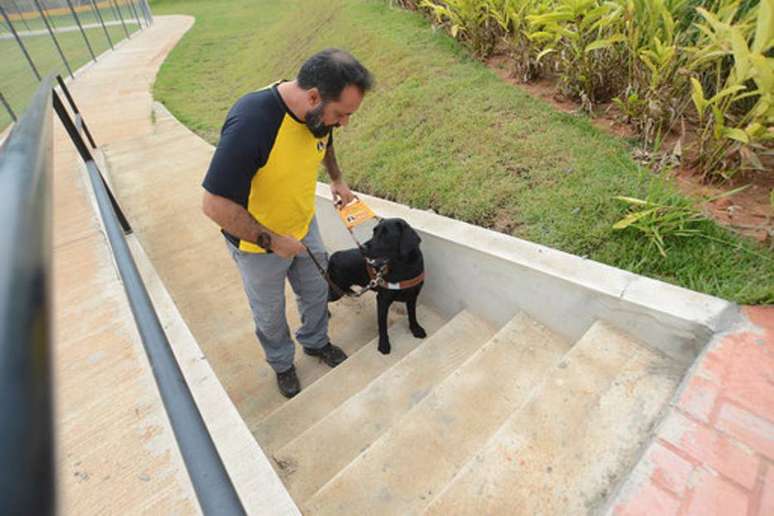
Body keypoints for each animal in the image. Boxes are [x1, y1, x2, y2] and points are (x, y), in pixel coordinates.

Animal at [326, 218, 428, 354]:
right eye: (374, 232)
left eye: (386, 234)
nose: (362, 247)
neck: (403, 267)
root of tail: (334, 256)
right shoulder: (382, 300)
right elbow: (382, 324)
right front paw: (383, 344)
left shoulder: (412, 296)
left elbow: (412, 314)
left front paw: (415, 329)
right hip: (336, 290)